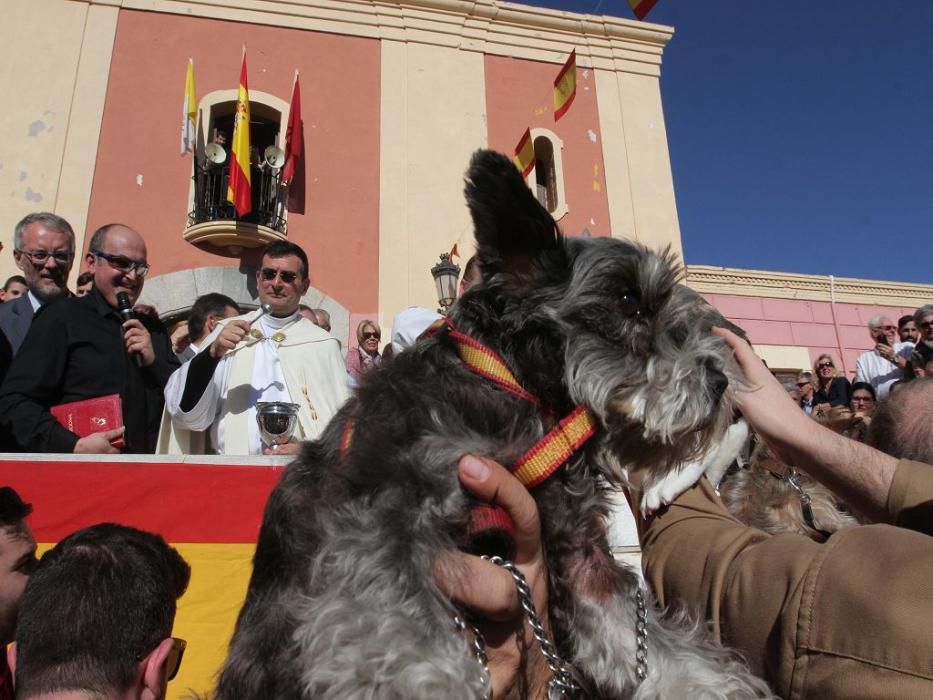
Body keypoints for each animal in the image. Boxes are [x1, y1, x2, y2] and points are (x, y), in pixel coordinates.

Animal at [215, 150, 768, 696]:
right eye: (629, 302)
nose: (721, 380)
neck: (514, 391)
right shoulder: (375, 521)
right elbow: (408, 643)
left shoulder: (583, 562)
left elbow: (666, 654)